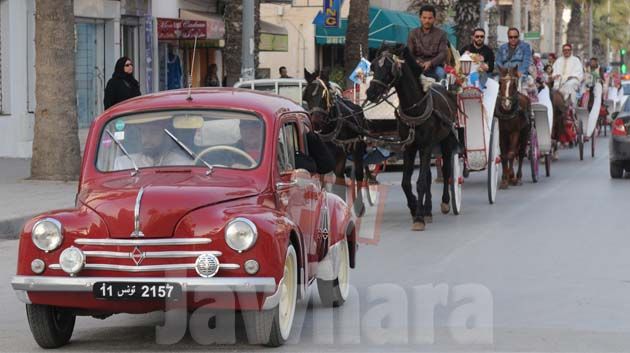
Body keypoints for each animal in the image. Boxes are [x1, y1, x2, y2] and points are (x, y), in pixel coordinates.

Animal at [302, 69, 370, 214]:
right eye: (307, 97)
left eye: (324, 97)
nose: (315, 123)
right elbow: (321, 183)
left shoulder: (340, 155)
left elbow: (339, 182)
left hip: (357, 147)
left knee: (358, 173)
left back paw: (359, 206)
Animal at [366, 44, 460, 231]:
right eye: (372, 66)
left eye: (388, 68)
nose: (370, 93)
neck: (414, 109)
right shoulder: (409, 147)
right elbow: (406, 182)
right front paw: (415, 207)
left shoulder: (425, 147)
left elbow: (421, 182)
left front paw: (418, 218)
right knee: (430, 176)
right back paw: (428, 210)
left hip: (445, 141)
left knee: (446, 171)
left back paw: (445, 202)